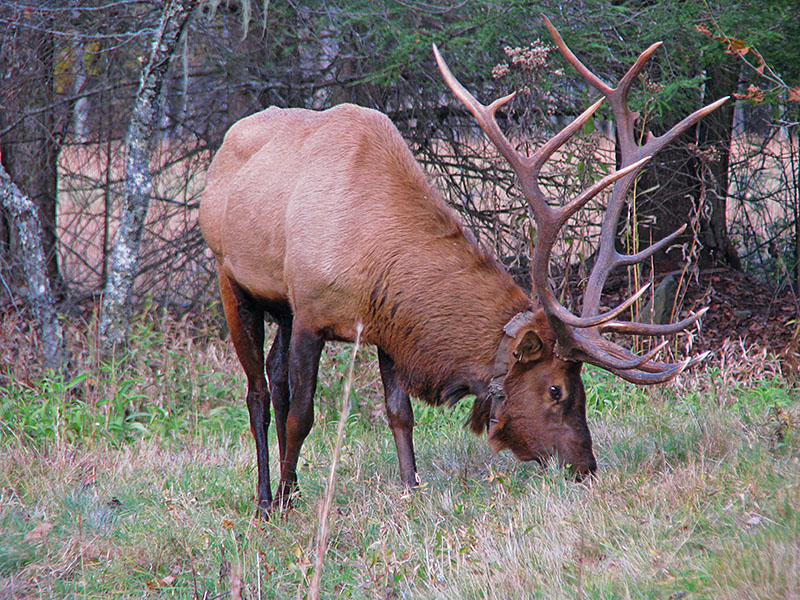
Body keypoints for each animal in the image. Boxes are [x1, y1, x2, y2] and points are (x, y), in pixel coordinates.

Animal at [202, 18, 724, 516]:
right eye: (556, 390)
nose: (586, 466)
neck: (368, 252)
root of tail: (222, 148)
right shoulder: (311, 310)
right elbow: (303, 414)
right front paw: (287, 500)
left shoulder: (385, 326)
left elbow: (399, 412)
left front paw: (410, 490)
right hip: (231, 277)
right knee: (259, 394)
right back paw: (266, 498)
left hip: (280, 306)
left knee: (275, 378)